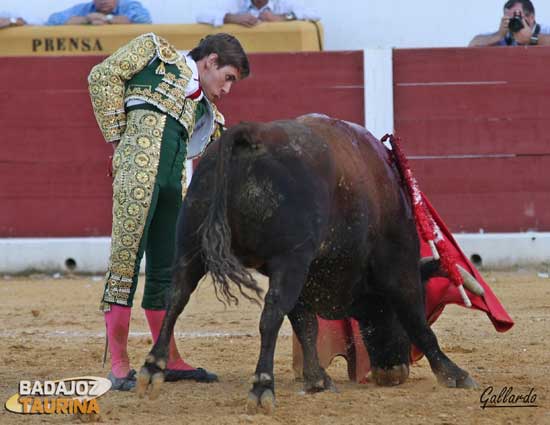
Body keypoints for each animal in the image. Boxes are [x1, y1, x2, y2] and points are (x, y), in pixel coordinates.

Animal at [138, 113, 478, 410]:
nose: (392, 372)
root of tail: (251, 135)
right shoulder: (394, 263)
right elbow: (415, 318)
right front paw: (454, 374)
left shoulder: (305, 272)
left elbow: (306, 325)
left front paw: (317, 380)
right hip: (288, 258)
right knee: (271, 314)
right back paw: (262, 387)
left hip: (190, 246)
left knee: (176, 297)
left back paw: (152, 369)